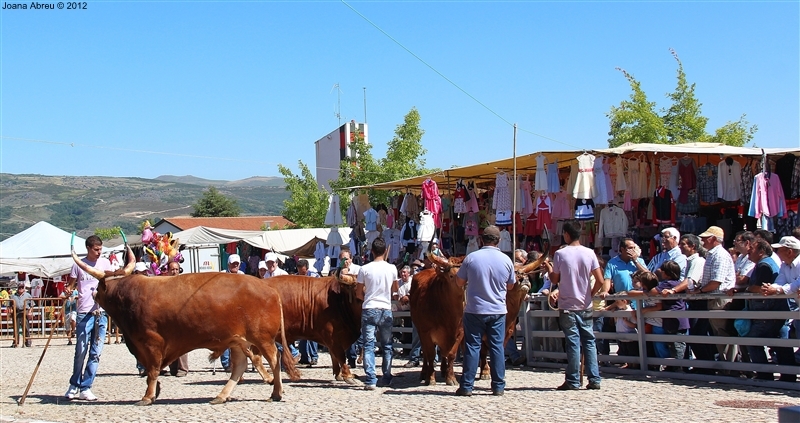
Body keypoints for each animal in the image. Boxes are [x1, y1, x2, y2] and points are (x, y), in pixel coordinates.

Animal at [69, 248, 296, 408]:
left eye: (99, 288)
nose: (93, 295)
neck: (127, 295)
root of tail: (268, 288)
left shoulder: (152, 342)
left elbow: (153, 369)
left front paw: (148, 396)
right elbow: (151, 370)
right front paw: (155, 391)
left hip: (262, 338)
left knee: (274, 359)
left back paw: (276, 392)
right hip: (238, 340)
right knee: (240, 365)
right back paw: (221, 396)